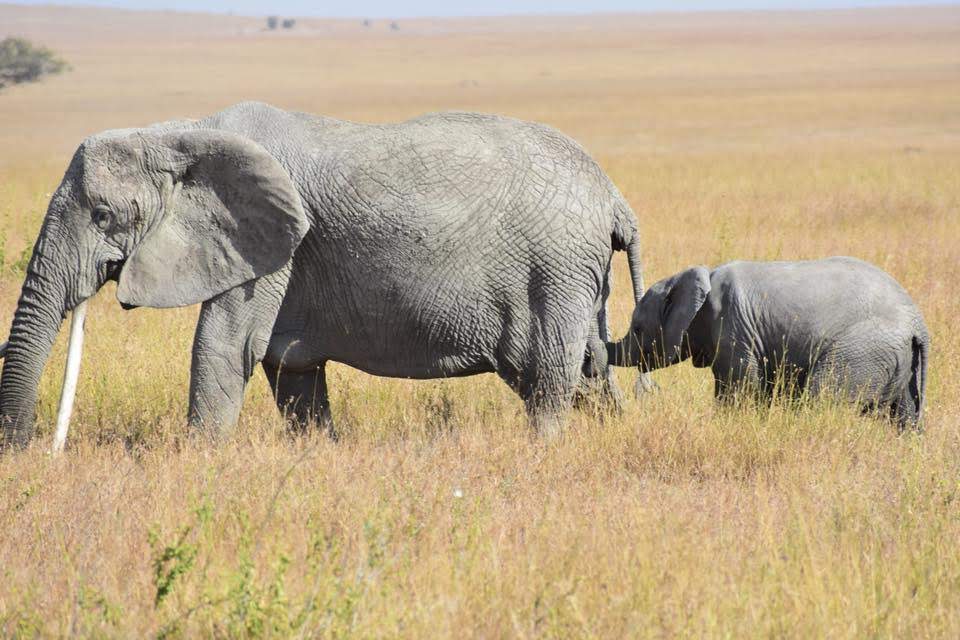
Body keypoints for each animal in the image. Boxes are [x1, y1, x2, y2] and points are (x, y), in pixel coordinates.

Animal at [0, 101, 650, 447]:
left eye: (103, 215)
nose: (28, 453)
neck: (178, 132)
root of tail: (615, 198)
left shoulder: (269, 250)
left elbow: (225, 347)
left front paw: (198, 464)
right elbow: (289, 368)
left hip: (554, 270)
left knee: (549, 379)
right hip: (576, 275)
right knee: (588, 371)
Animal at [608, 257, 929, 428]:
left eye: (637, 329)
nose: (646, 391)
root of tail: (918, 325)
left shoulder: (734, 328)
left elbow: (740, 391)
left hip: (863, 351)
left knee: (822, 400)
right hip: (899, 361)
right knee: (904, 417)